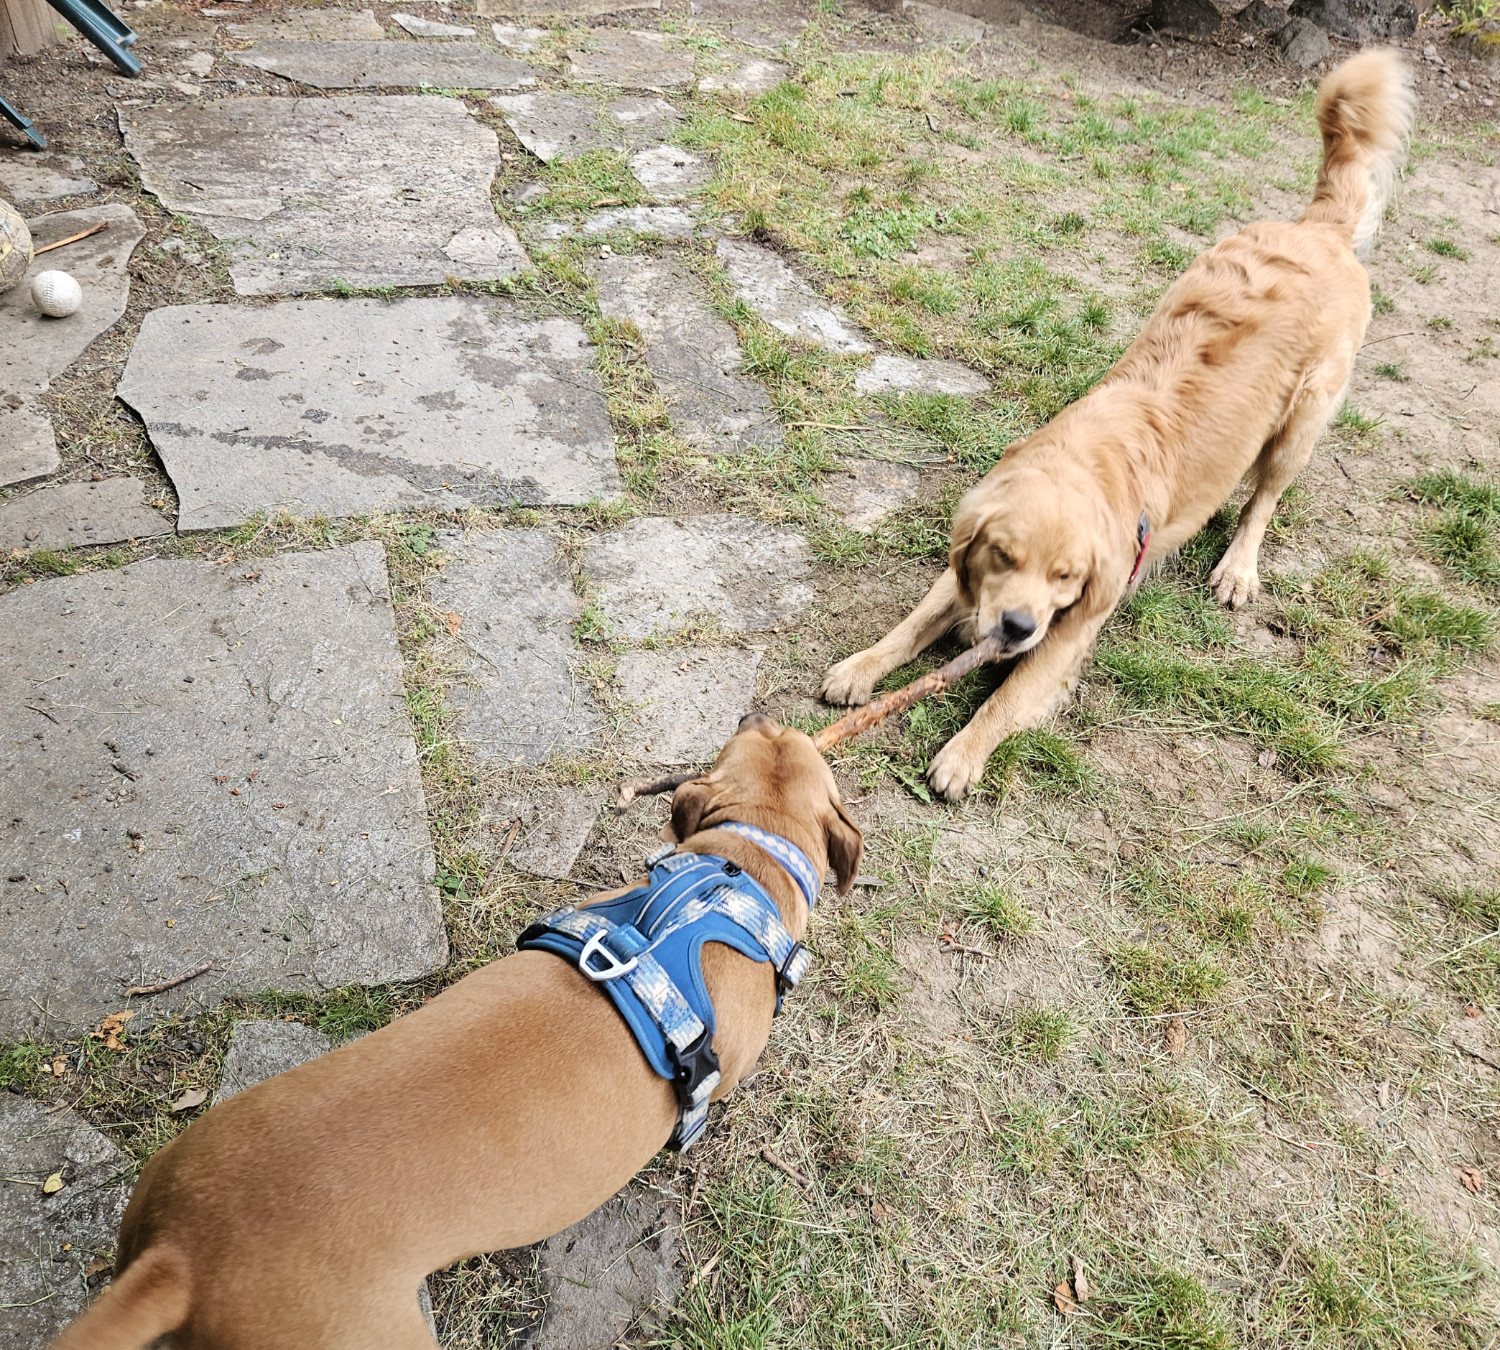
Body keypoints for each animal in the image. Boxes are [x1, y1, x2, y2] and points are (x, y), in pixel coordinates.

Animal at [828, 52, 1410, 798]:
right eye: (1003, 556)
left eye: (1066, 577)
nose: (1015, 626)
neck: (1088, 464)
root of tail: (1319, 230)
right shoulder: (969, 572)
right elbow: (914, 621)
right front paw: (861, 666)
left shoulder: (1071, 630)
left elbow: (1006, 698)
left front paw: (963, 755)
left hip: (1302, 421)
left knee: (1265, 498)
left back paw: (1237, 569)